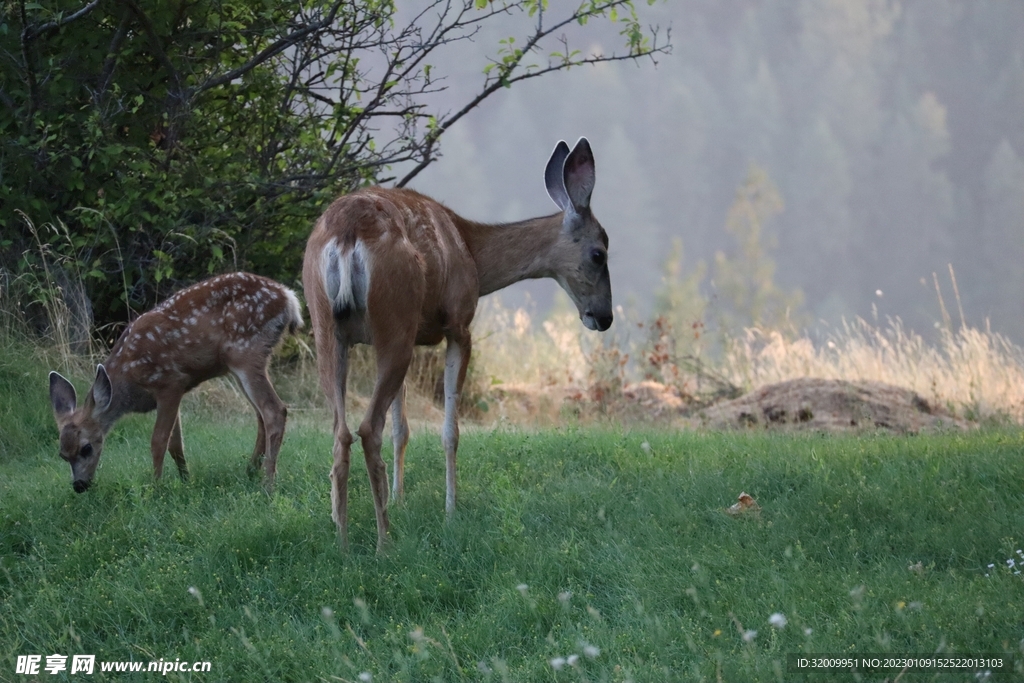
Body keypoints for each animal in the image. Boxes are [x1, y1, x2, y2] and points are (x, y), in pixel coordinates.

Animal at [48, 272, 303, 493]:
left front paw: (155, 487)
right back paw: (250, 471)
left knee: (274, 410)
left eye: (87, 448)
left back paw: (267, 484)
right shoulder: (173, 392)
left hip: (246, 352)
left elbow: (159, 441)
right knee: (260, 415)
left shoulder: (170, 383)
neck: (128, 383)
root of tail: (288, 297)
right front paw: (186, 480)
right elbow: (176, 444)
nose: (79, 486)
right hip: (240, 365)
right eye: (62, 455)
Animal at [303, 137, 612, 551]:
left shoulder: (412, 334)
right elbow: (450, 431)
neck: (473, 254)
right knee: (368, 429)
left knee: (341, 431)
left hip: (329, 325)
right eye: (599, 253)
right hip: (393, 315)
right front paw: (450, 510)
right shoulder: (458, 325)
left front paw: (400, 499)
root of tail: (346, 235)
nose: (604, 317)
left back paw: (342, 538)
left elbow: (403, 428)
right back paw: (384, 541)